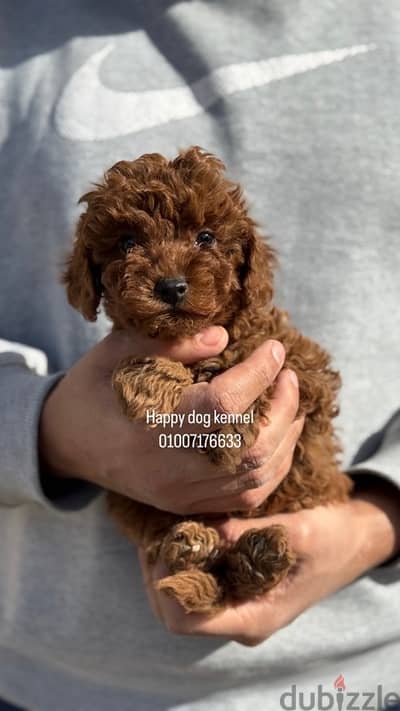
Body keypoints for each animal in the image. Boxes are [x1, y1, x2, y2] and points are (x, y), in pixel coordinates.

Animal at [62, 147, 350, 616]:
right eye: (127, 243)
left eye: (207, 238)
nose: (171, 286)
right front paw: (149, 378)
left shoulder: (302, 367)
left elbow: (246, 351)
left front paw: (223, 420)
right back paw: (195, 544)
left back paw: (260, 556)